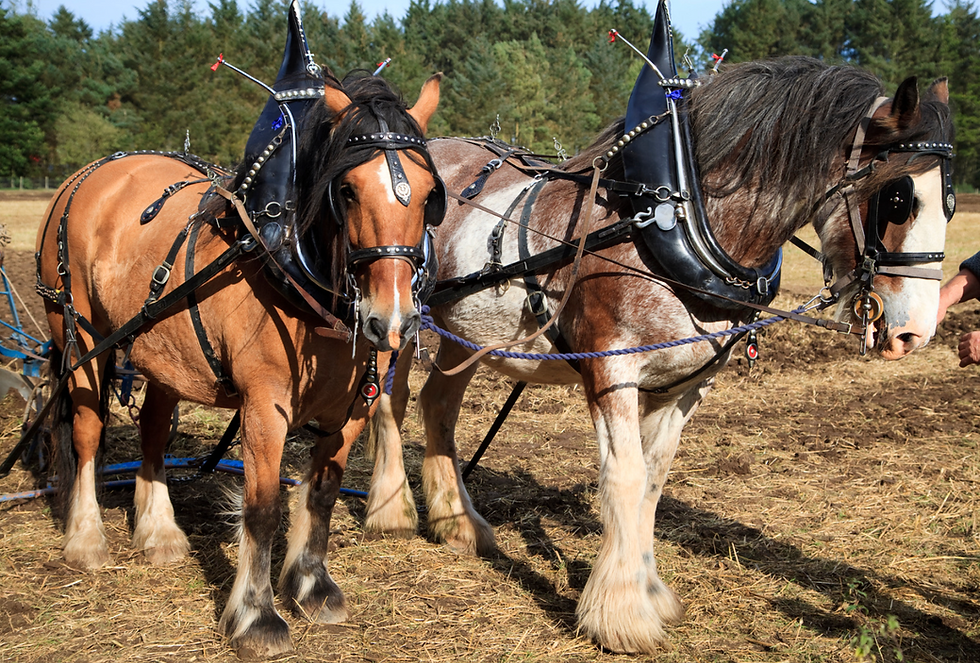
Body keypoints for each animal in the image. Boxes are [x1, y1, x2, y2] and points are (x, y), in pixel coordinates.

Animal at [35, 68, 444, 657]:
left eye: (431, 195)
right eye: (346, 190)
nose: (391, 321)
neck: (292, 269)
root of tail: (93, 172)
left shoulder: (352, 405)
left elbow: (322, 491)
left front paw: (312, 587)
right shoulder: (264, 406)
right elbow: (264, 507)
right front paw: (257, 616)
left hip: (165, 353)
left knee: (153, 431)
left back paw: (159, 532)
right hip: (80, 331)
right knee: (88, 433)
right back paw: (87, 538)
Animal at [362, 56, 955, 653]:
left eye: (951, 202)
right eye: (899, 197)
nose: (916, 332)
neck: (675, 223)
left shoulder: (687, 383)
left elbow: (652, 481)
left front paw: (650, 594)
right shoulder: (611, 368)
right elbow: (623, 476)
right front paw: (621, 617)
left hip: (465, 335)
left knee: (438, 405)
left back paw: (460, 523)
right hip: (397, 319)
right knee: (389, 400)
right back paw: (392, 512)